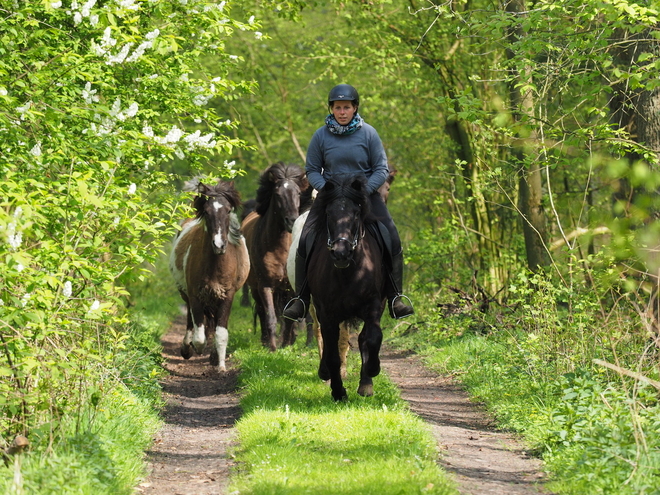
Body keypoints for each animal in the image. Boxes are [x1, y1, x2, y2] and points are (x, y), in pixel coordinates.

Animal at [169, 179, 249, 372]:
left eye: (228, 210)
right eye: (206, 212)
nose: (219, 245)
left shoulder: (227, 296)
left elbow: (221, 333)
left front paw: (220, 365)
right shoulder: (195, 294)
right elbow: (199, 334)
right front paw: (195, 348)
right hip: (186, 294)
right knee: (190, 320)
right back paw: (187, 348)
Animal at [242, 161, 312, 350]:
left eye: (298, 193)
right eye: (278, 194)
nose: (291, 221)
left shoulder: (290, 287)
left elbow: (288, 318)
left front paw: (286, 345)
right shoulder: (265, 285)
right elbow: (270, 317)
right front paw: (272, 348)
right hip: (255, 287)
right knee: (261, 311)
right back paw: (266, 340)